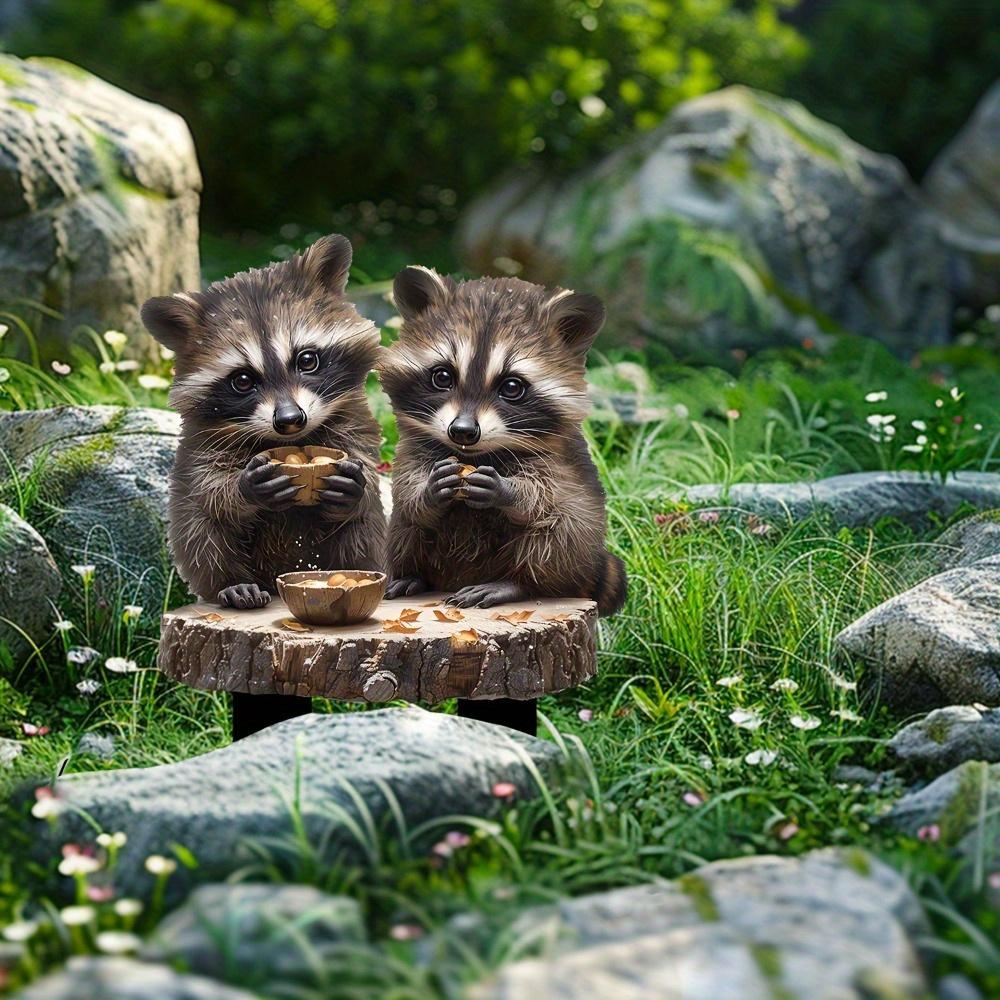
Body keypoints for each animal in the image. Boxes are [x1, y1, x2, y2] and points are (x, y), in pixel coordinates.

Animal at [141, 234, 386, 609]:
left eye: (307, 360)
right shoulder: (202, 442)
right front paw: (243, 488)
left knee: (365, 524)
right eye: (242, 380)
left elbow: (366, 475)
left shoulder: (354, 421)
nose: (290, 420)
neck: (288, 441)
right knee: (199, 528)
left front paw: (354, 487)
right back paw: (232, 583)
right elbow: (209, 491)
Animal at [378, 267, 626, 616]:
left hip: (578, 548)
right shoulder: (413, 447)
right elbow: (407, 488)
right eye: (442, 377)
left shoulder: (561, 460)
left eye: (511, 386)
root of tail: (453, 579)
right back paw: (413, 576)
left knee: (561, 532)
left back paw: (516, 584)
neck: (477, 455)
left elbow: (548, 498)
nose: (462, 431)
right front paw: (427, 490)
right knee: (403, 524)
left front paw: (510, 491)